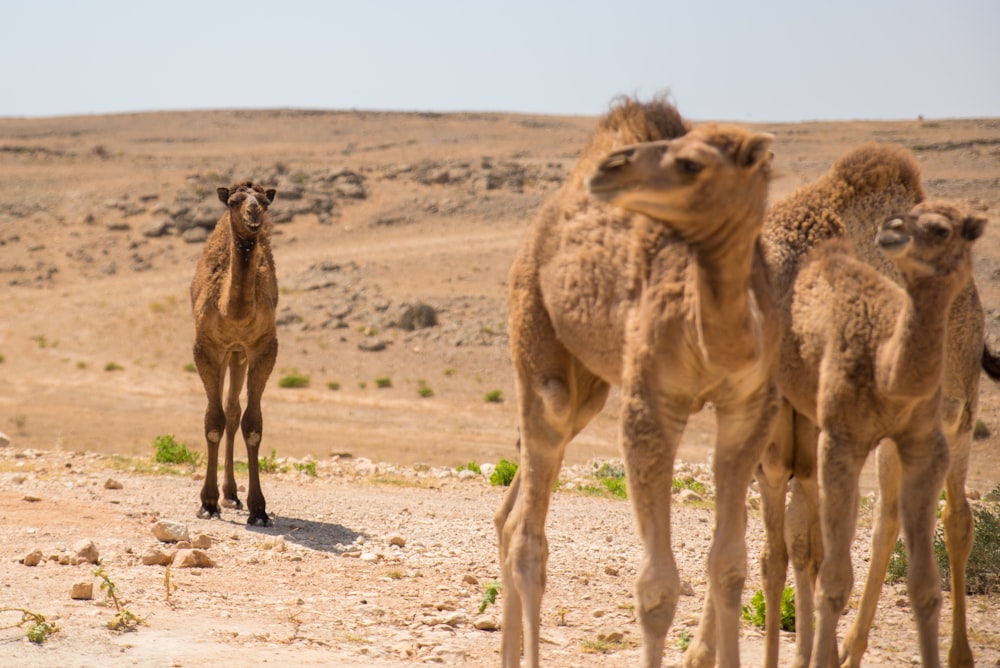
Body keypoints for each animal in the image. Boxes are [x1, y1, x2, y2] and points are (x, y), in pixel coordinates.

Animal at [189, 179, 278, 528]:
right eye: (234, 201)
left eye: (264, 202)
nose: (253, 214)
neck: (234, 314)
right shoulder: (205, 347)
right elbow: (212, 420)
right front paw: (207, 503)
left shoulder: (264, 347)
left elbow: (253, 425)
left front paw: (259, 509)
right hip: (228, 353)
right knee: (226, 412)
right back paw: (223, 496)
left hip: (237, 354)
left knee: (233, 409)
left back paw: (231, 494)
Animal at [494, 95, 780, 668]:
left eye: (692, 163)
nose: (610, 168)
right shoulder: (653, 403)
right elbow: (657, 585)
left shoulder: (749, 407)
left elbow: (729, 566)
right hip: (534, 330)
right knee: (527, 533)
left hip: (591, 387)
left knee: (516, 515)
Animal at [752, 145, 996, 668]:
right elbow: (795, 544)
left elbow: (804, 545)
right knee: (889, 514)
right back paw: (850, 647)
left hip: (957, 414)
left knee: (955, 518)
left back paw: (955, 653)